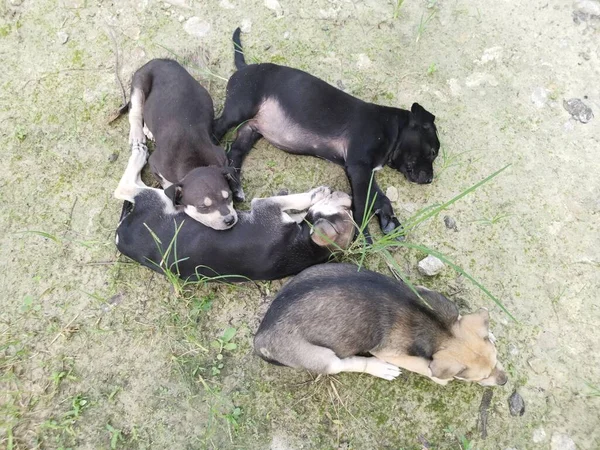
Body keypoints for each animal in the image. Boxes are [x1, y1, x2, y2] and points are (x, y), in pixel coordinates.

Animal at [115, 142, 354, 282]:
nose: (350, 199)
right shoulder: (270, 207)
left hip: (158, 198)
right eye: (346, 209)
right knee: (125, 187)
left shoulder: (268, 207)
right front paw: (319, 193)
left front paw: (317, 195)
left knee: (124, 188)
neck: (305, 246)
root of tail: (120, 235)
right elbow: (298, 202)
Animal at [213, 29, 438, 241]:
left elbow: (380, 198)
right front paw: (363, 240)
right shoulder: (359, 168)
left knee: (235, 153)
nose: (430, 180)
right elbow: (362, 206)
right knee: (217, 129)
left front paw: (390, 222)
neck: (392, 128)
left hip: (251, 131)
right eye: (433, 152)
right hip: (239, 109)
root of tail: (244, 68)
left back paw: (235, 186)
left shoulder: (365, 171)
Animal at [253, 264, 506, 386]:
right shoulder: (390, 352)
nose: (504, 382)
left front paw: (491, 334)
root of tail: (261, 335)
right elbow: (425, 367)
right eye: (479, 379)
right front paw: (441, 378)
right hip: (318, 356)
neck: (443, 330)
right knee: (343, 364)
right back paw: (379, 369)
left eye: (496, 360)